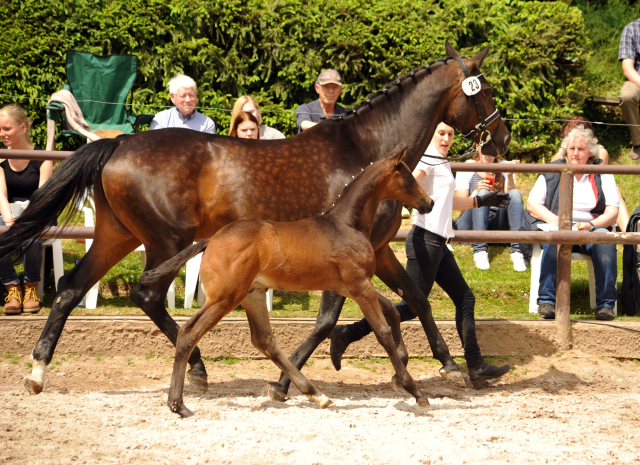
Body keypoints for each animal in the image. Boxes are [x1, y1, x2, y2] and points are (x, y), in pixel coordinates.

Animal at [141, 145, 436, 416]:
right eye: (408, 176)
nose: (429, 203)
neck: (346, 225)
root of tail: (210, 239)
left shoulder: (349, 286)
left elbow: (392, 313)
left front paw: (400, 371)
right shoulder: (359, 285)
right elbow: (383, 330)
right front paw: (415, 390)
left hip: (252, 294)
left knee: (264, 340)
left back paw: (316, 394)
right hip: (225, 297)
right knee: (189, 333)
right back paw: (178, 404)